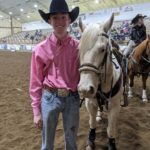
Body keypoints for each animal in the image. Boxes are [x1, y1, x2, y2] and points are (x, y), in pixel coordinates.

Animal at [77, 13, 123, 149]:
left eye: (102, 49)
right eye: (79, 49)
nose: (85, 89)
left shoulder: (115, 106)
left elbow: (111, 129)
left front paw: (111, 144)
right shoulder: (90, 103)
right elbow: (92, 123)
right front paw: (91, 140)